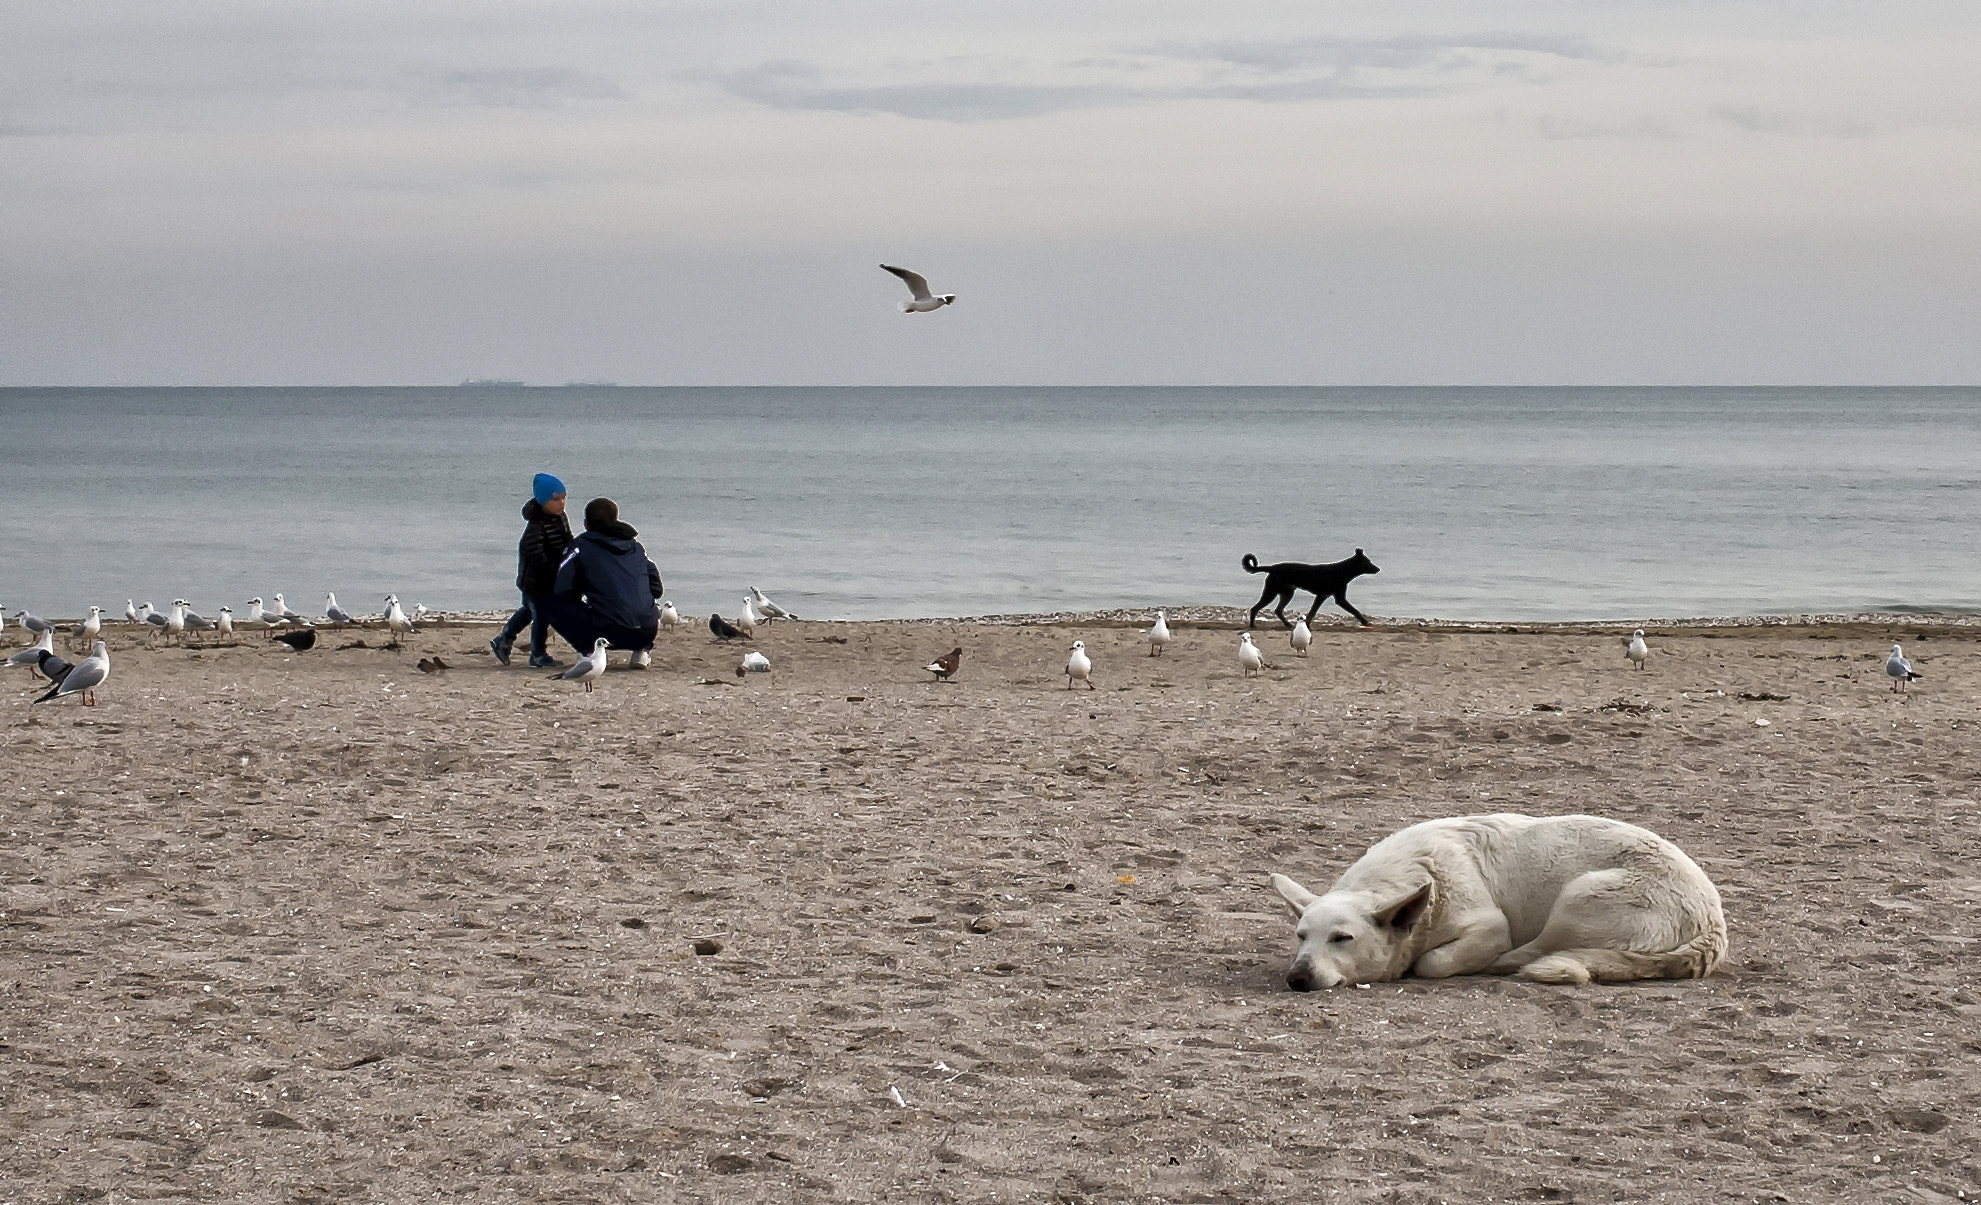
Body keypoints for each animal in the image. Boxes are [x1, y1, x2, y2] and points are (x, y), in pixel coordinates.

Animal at [1236, 550, 1378, 630]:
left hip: (1287, 592)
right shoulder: (1340, 598)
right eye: (1368, 562)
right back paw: (1252, 625)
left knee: (1278, 610)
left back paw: (1288, 624)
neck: (1342, 571)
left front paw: (1307, 625)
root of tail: (1272, 568)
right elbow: (1355, 610)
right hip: (1271, 592)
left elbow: (1312, 613)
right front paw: (1365, 622)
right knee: (1255, 608)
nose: (1378, 569)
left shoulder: (1321, 596)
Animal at [1275, 808, 1727, 986]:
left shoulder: (1490, 927)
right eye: (1301, 936)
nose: (1297, 978)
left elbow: (1431, 962)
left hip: (1576, 898)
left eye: (1343, 939)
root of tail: (1714, 921)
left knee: (1534, 952)